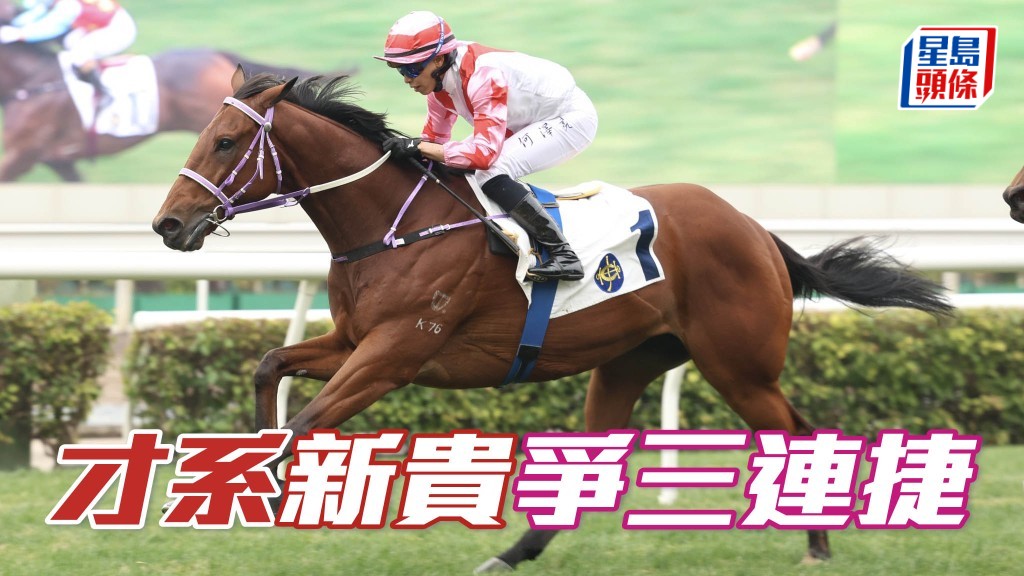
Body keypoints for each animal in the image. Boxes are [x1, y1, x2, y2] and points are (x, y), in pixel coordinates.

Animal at [152, 69, 953, 571]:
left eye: (225, 142)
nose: (167, 224)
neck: (392, 226)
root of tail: (756, 229)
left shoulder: (396, 352)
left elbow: (308, 419)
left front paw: (265, 489)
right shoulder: (354, 339)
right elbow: (270, 367)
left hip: (738, 364)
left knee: (796, 433)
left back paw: (816, 544)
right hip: (630, 361)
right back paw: (509, 555)